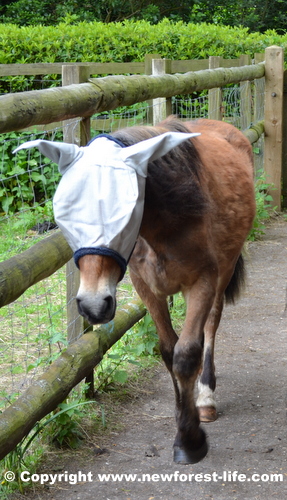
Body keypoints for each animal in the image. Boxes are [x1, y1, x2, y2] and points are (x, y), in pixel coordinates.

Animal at [76, 118, 256, 464]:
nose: (92, 305)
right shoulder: (148, 289)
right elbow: (170, 351)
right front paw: (181, 414)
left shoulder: (202, 283)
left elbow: (186, 354)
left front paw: (189, 440)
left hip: (222, 275)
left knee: (211, 325)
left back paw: (205, 396)